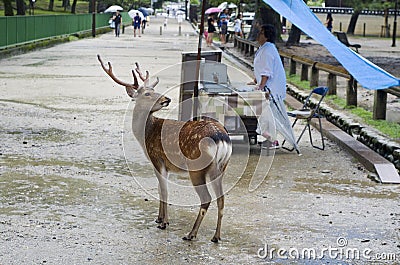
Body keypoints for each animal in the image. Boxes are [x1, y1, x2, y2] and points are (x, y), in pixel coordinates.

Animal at [98, 55, 233, 241]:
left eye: (153, 91)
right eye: (148, 93)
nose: (166, 99)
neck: (146, 135)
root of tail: (221, 138)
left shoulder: (157, 158)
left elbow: (164, 190)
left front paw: (164, 222)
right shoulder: (164, 164)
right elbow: (160, 189)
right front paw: (159, 218)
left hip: (197, 168)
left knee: (206, 198)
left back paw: (191, 234)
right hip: (221, 167)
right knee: (221, 198)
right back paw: (216, 236)